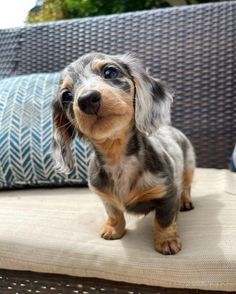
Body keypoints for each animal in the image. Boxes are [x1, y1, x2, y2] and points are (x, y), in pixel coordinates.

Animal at [52, 52, 195, 255]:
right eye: (66, 96)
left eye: (110, 72)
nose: (87, 99)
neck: (117, 157)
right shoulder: (105, 196)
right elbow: (114, 214)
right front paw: (113, 229)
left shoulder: (167, 193)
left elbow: (164, 220)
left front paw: (167, 240)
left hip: (189, 167)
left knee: (187, 187)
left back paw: (185, 202)